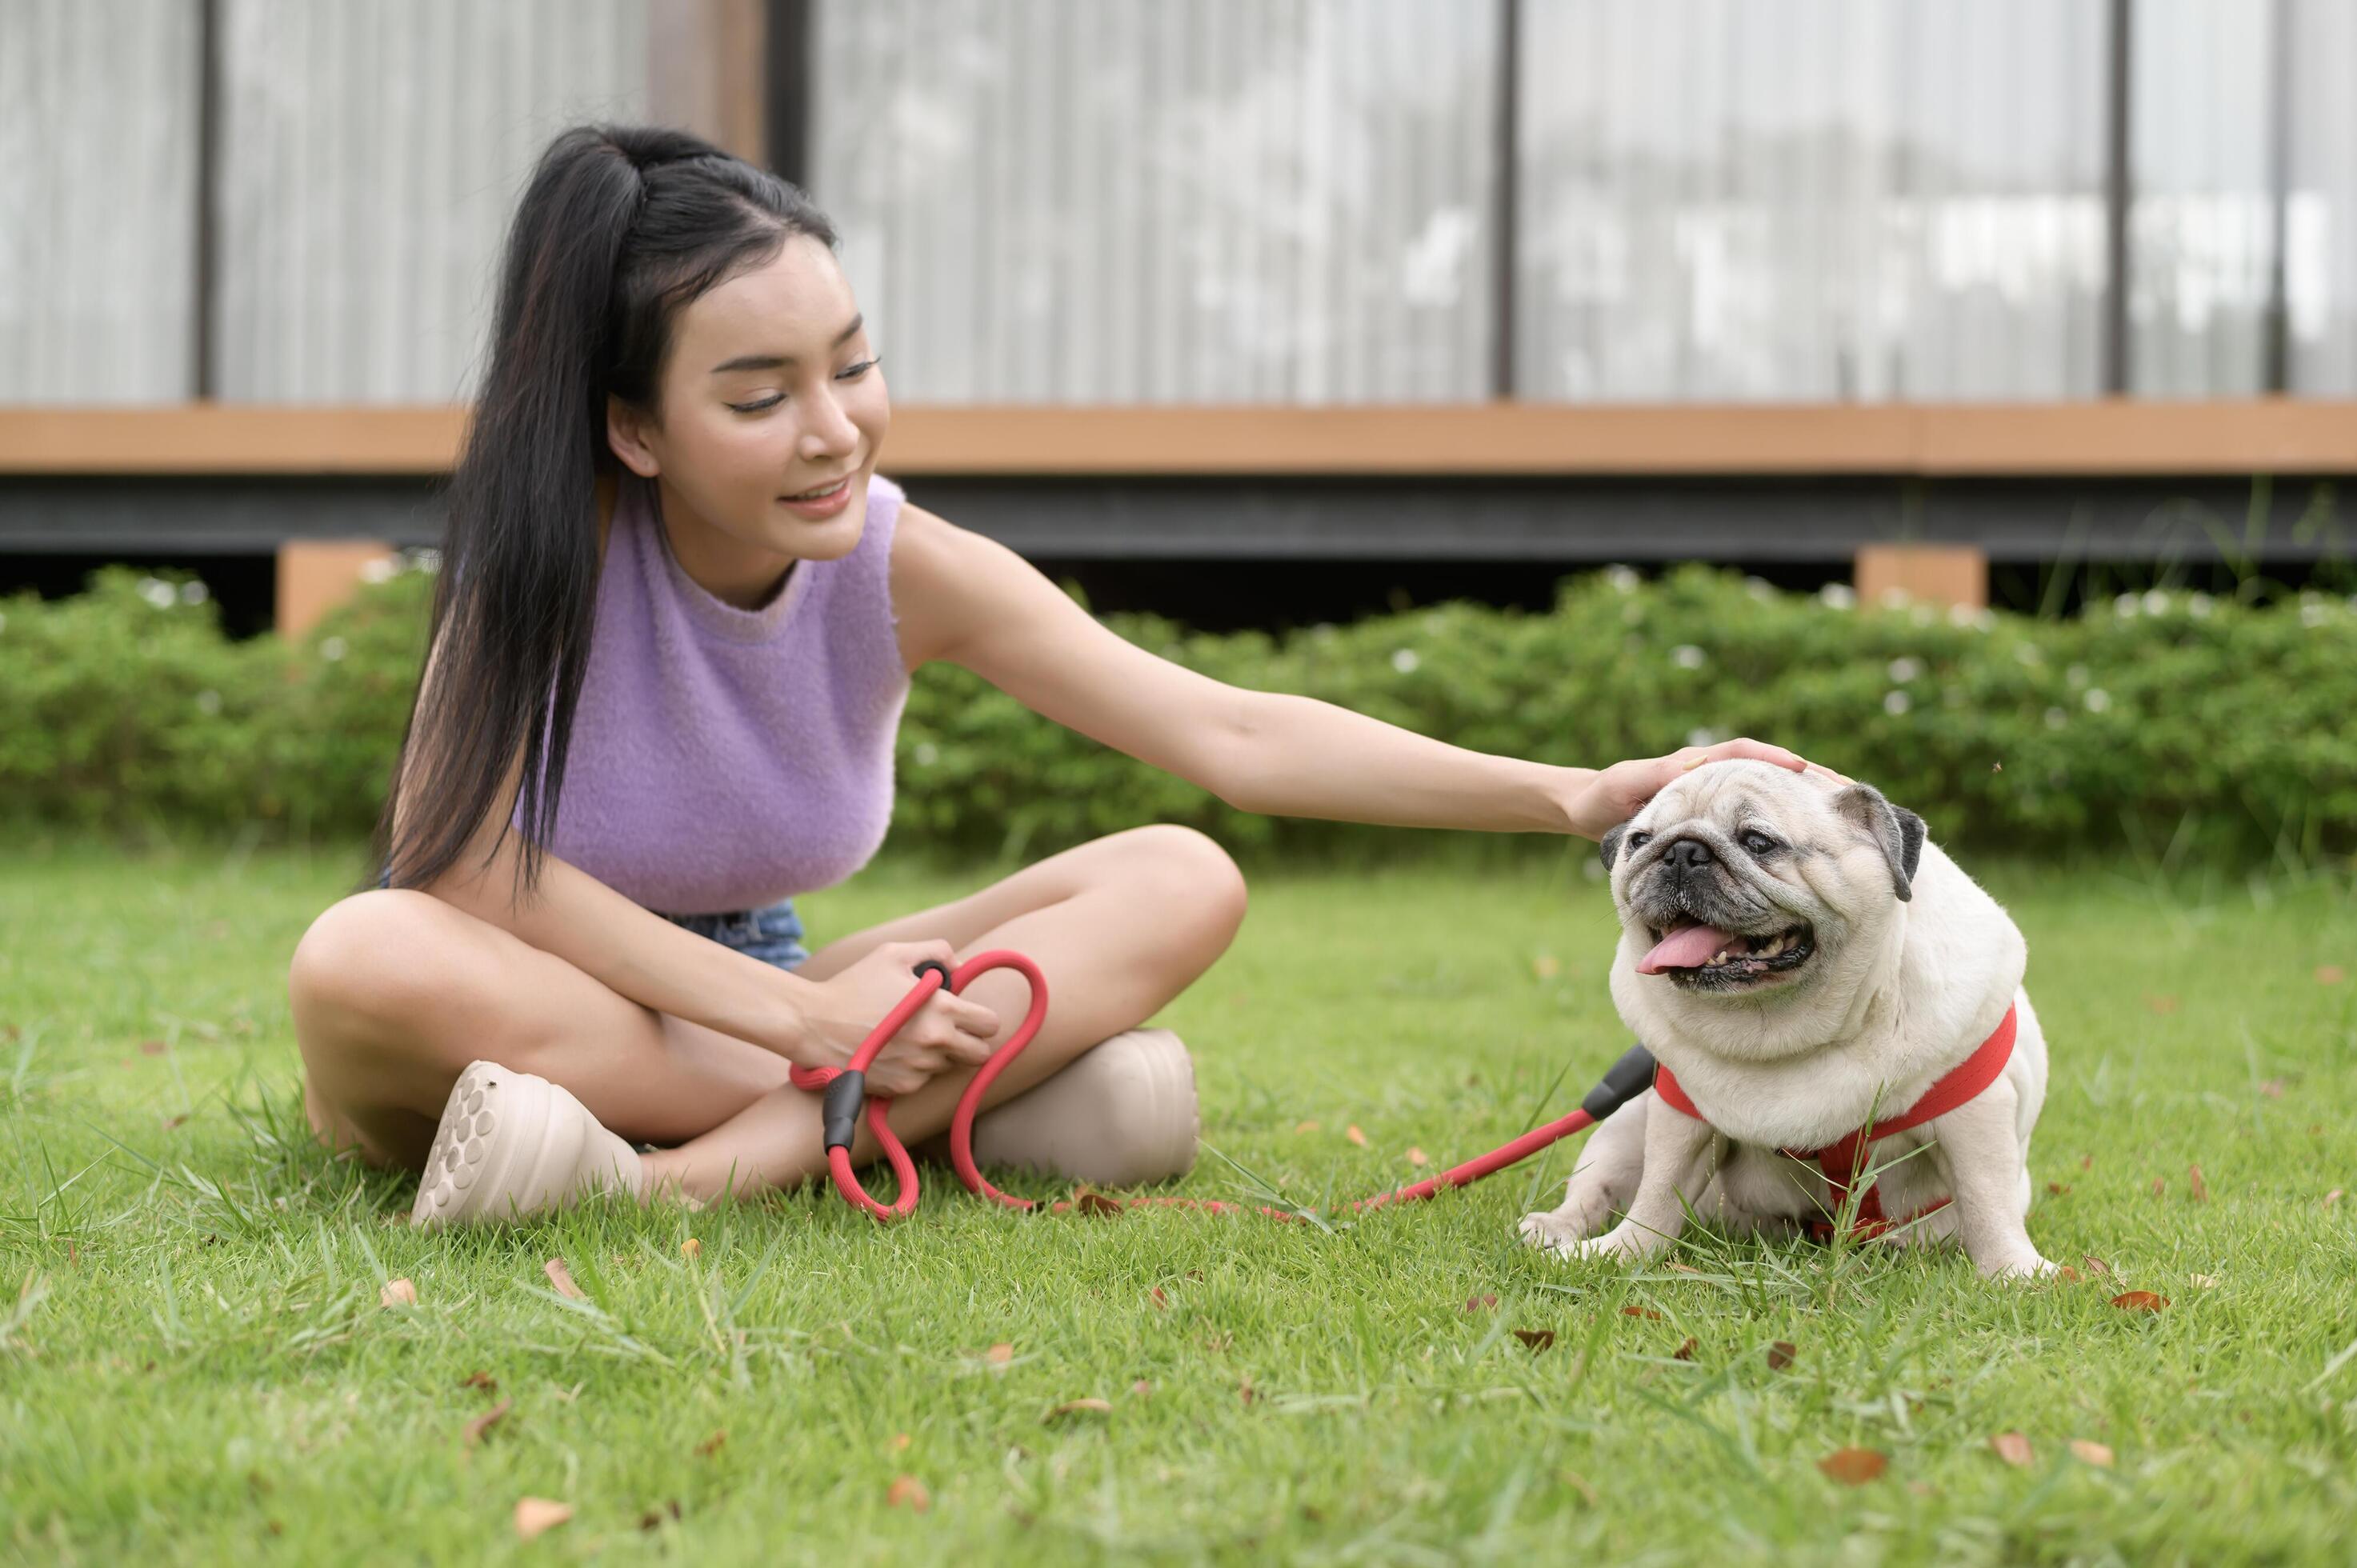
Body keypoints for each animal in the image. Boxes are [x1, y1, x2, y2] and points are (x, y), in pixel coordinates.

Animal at [1518, 759, 2055, 1282]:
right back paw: (1553, 1229)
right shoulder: (1679, 1115)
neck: (1781, 1032)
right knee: (1595, 1190)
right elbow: (1659, 1192)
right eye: (1639, 841)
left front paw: (2014, 1271)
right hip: (1626, 1125)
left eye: (1758, 842)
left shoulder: (1974, 1114)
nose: (1680, 852)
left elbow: (1987, 1198)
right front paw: (1622, 1252)